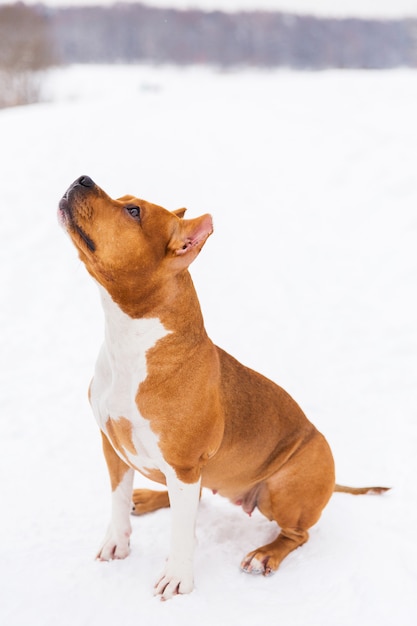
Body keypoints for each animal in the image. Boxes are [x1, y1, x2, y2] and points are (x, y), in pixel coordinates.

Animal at [57, 173, 386, 596]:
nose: (82, 178)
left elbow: (181, 534)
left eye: (133, 211)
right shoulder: (112, 446)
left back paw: (265, 553)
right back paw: (148, 498)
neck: (130, 341)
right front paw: (116, 542)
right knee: (194, 500)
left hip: (283, 486)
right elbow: (117, 499)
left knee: (296, 534)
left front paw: (178, 577)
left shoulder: (183, 465)